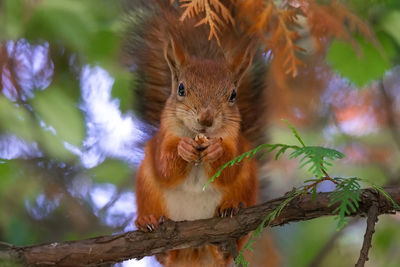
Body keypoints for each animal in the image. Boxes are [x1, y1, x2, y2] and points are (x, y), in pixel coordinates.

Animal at [125, 1, 274, 266]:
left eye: (233, 95)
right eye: (181, 89)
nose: (206, 119)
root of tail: (193, 252)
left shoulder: (238, 142)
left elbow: (230, 169)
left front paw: (216, 150)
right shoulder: (162, 139)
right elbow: (164, 166)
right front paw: (183, 149)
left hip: (247, 188)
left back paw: (227, 226)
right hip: (148, 190)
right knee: (165, 253)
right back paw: (151, 226)